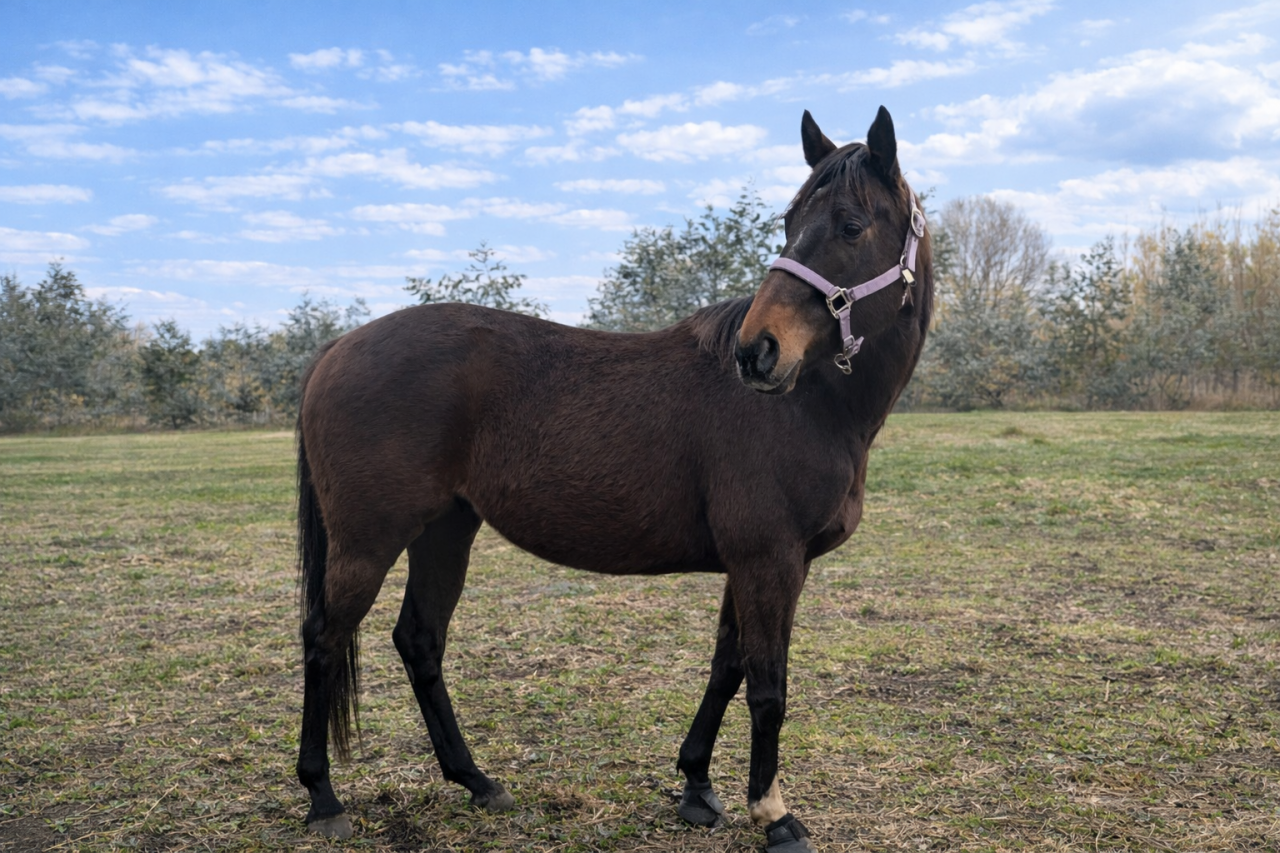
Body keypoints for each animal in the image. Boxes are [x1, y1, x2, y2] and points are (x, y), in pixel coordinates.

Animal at [293, 105, 932, 852]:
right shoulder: (771, 561)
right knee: (323, 638)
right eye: (789, 221)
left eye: (851, 225)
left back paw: (477, 781)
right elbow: (768, 685)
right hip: (368, 541)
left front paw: (697, 785)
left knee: (419, 640)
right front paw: (773, 814)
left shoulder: (749, 564)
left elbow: (727, 667)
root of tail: (338, 348)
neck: (811, 403)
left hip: (445, 529)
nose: (756, 351)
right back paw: (323, 795)